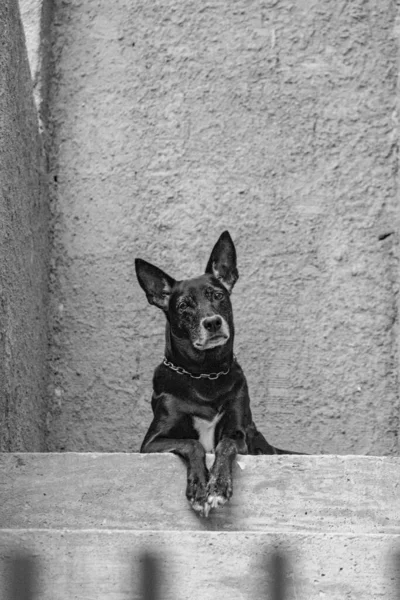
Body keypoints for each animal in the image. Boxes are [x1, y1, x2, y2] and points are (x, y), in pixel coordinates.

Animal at [136, 230, 298, 516]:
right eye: (183, 306)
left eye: (217, 295)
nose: (212, 322)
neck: (204, 375)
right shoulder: (151, 442)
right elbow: (193, 443)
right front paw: (200, 489)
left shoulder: (240, 434)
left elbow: (225, 445)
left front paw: (217, 488)